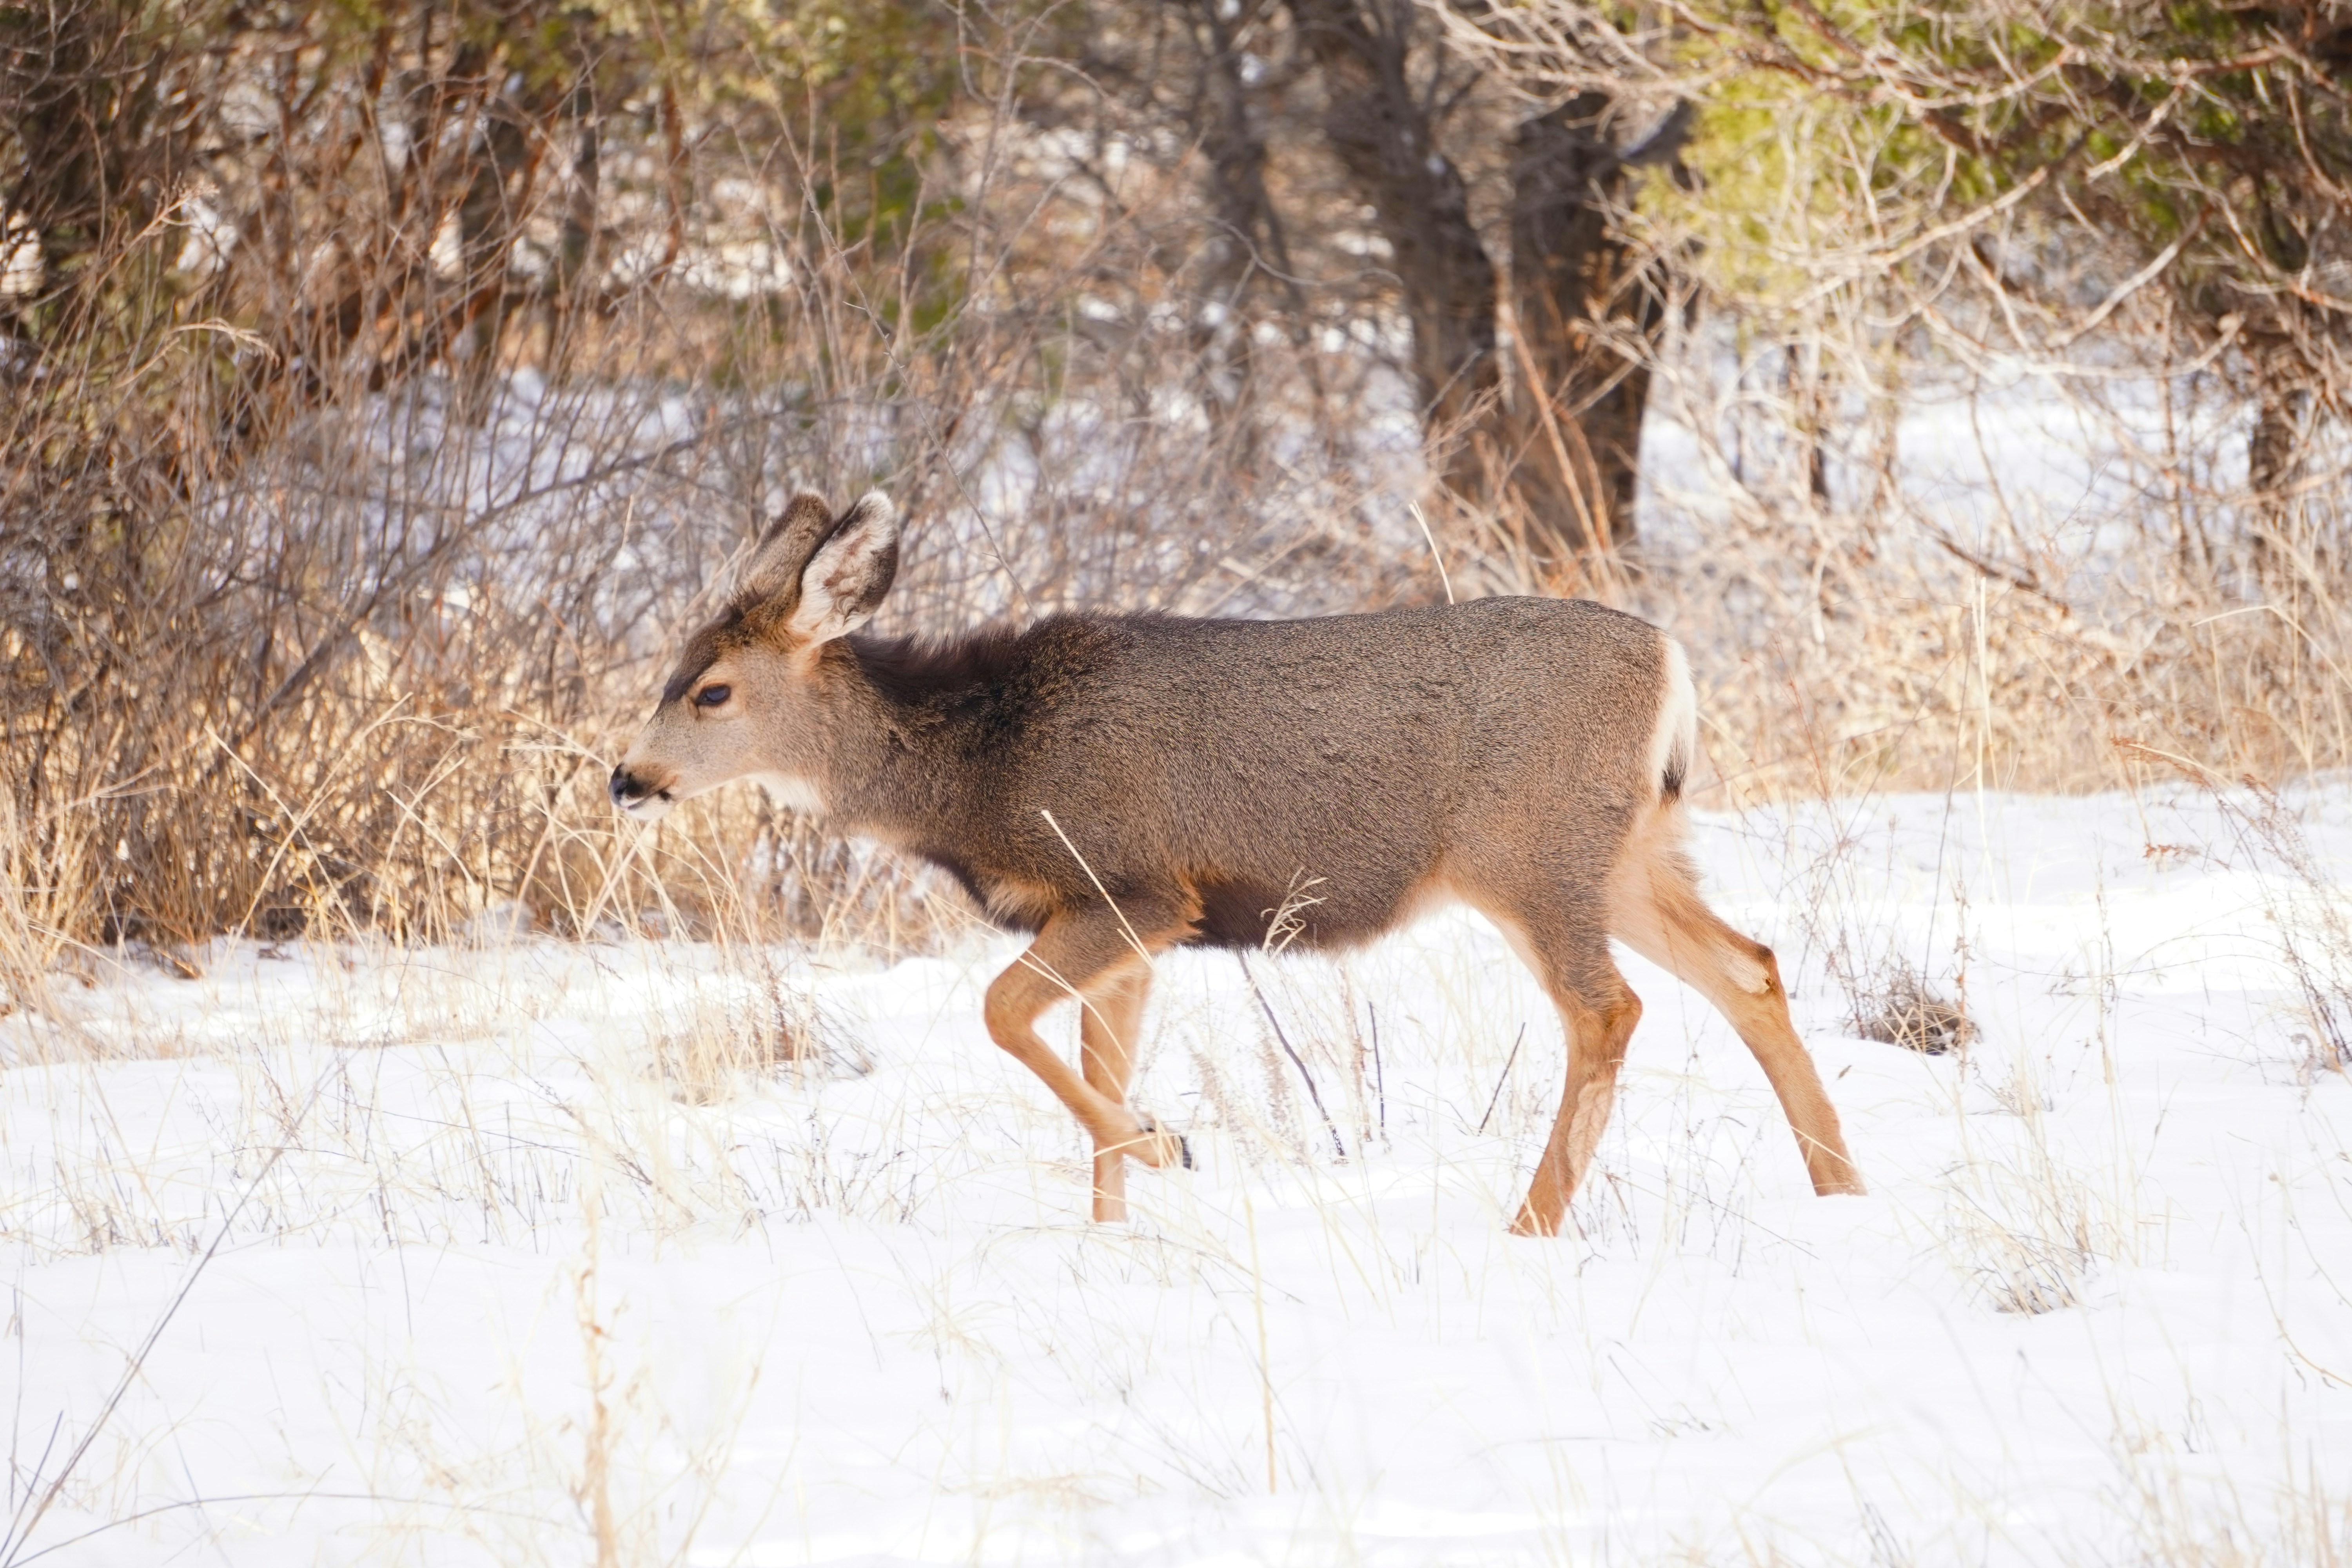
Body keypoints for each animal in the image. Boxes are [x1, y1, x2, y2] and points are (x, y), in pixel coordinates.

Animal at [610, 490, 1864, 1232]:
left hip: (1530, 850)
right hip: (1630, 848)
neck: (983, 768)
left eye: (710, 690)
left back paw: (1532, 1224)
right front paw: (1114, 1231)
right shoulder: (1123, 929)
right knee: (1749, 967)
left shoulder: (1136, 888)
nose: (626, 779)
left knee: (1608, 1008)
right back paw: (1840, 1188)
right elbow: (1093, 1058)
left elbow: (1003, 1015)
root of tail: (1673, 662)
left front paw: (1166, 1144)